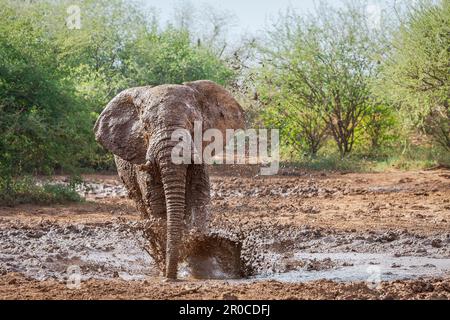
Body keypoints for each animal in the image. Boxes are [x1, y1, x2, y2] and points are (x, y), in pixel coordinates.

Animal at [92, 80, 244, 280]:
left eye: (193, 123)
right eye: (146, 127)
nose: (170, 276)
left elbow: (199, 200)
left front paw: (198, 266)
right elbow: (158, 206)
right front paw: (172, 268)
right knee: (143, 209)